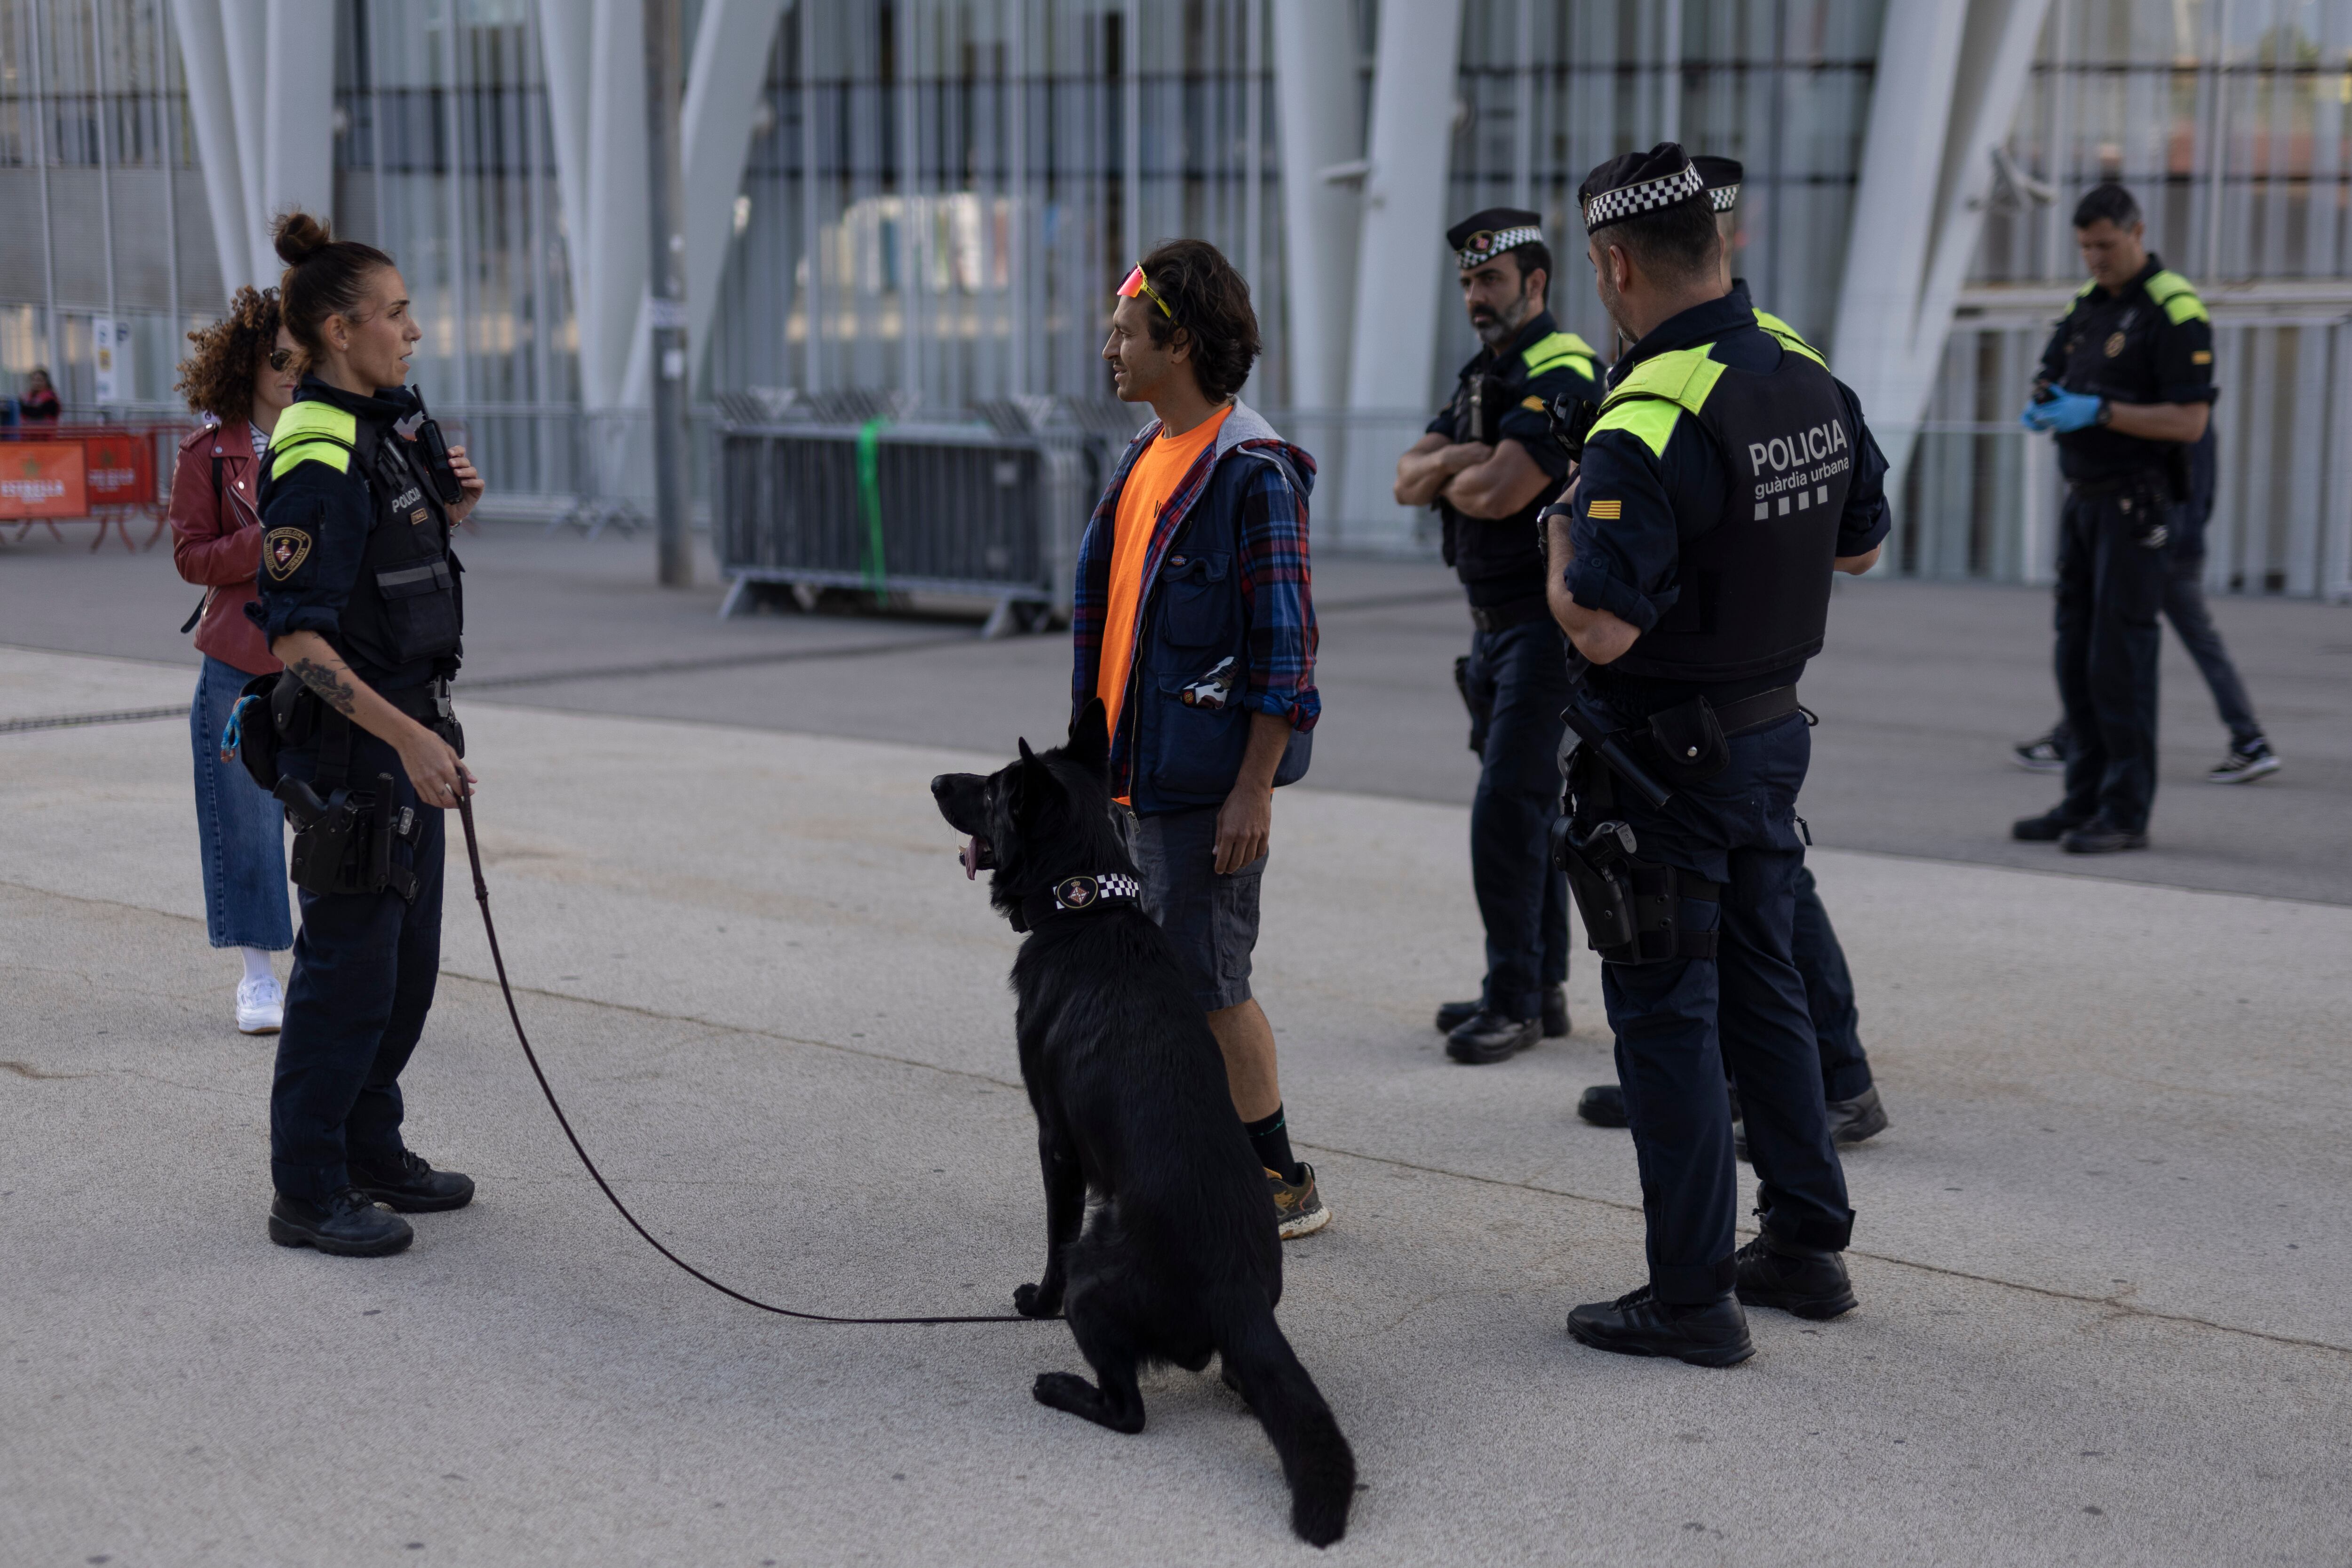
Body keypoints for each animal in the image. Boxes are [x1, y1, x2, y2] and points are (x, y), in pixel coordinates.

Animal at [927, 705, 1355, 1552]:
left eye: (991, 788)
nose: (932, 780)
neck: (1089, 905)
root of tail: (1238, 1294)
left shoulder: (1054, 1142)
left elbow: (1052, 1236)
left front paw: (1035, 1302)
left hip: (1099, 1274)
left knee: (1128, 1410)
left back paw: (1063, 1385)